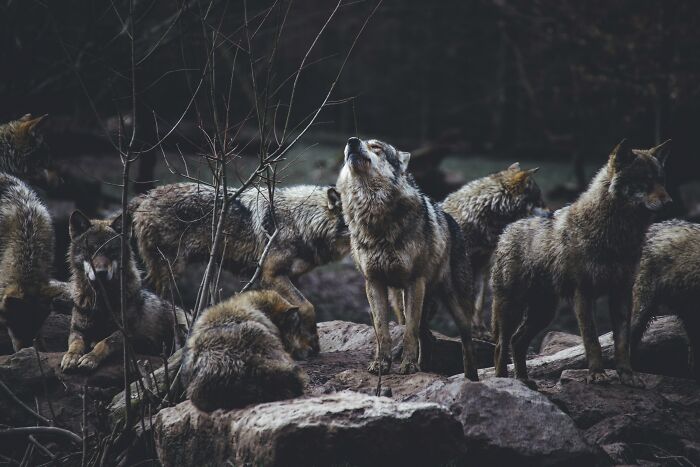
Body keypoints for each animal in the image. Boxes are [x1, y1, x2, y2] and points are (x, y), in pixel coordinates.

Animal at [61, 211, 188, 372]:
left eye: (112, 251)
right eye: (90, 251)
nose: (101, 273)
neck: (103, 300)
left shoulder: (126, 332)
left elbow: (104, 342)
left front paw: (90, 358)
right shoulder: (77, 330)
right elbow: (75, 344)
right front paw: (71, 357)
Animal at [130, 183, 350, 356]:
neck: (301, 220)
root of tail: (146, 196)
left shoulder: (290, 277)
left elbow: (295, 312)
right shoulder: (271, 274)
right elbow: (308, 306)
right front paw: (312, 343)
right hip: (170, 272)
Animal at [336, 136, 477, 379]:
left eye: (376, 147)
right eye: (356, 142)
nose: (352, 141)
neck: (374, 217)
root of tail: (451, 220)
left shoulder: (414, 282)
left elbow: (409, 332)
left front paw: (409, 366)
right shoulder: (373, 283)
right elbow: (382, 330)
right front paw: (381, 364)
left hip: (454, 305)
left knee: (466, 342)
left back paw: (471, 378)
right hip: (403, 302)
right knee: (427, 336)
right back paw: (426, 367)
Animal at [491, 140, 671, 386]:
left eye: (661, 180)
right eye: (645, 181)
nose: (669, 202)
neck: (617, 234)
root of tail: (507, 230)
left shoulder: (622, 293)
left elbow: (622, 343)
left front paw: (627, 375)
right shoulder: (583, 293)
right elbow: (592, 340)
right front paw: (597, 374)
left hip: (543, 313)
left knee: (517, 341)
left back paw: (524, 381)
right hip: (512, 309)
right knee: (501, 345)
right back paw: (504, 381)